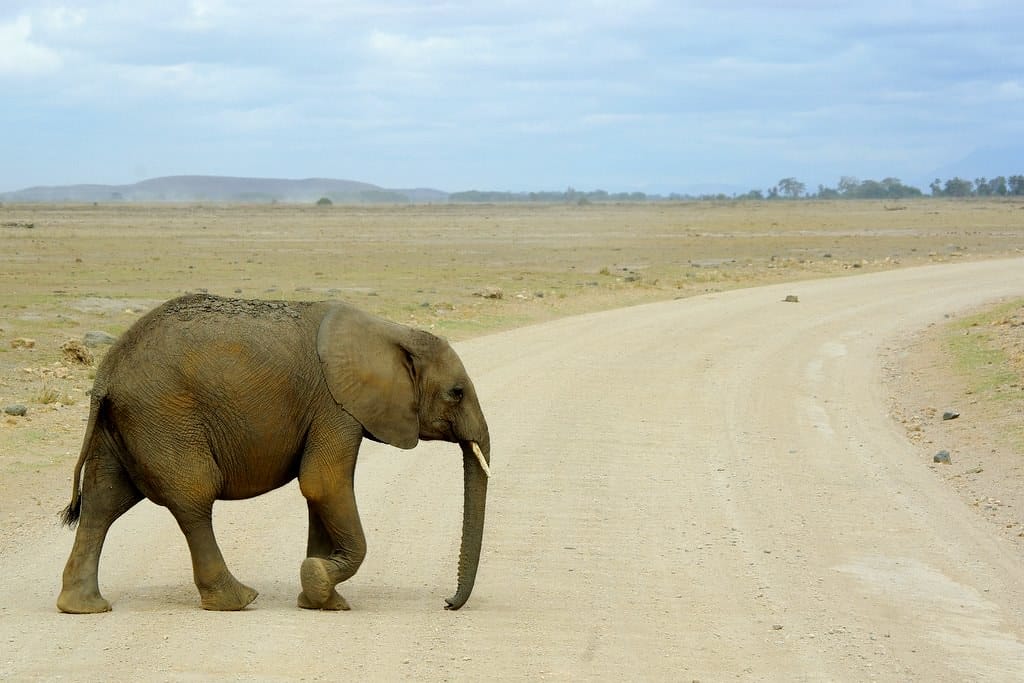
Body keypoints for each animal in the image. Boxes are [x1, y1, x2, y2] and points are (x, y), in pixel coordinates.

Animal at [56, 293, 490, 613]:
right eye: (456, 393)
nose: (447, 603)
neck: (391, 332)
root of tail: (106, 372)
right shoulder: (335, 407)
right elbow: (323, 484)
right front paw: (320, 583)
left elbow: (319, 493)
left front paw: (321, 601)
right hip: (163, 417)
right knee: (193, 500)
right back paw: (237, 600)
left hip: (125, 425)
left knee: (102, 502)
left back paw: (83, 607)